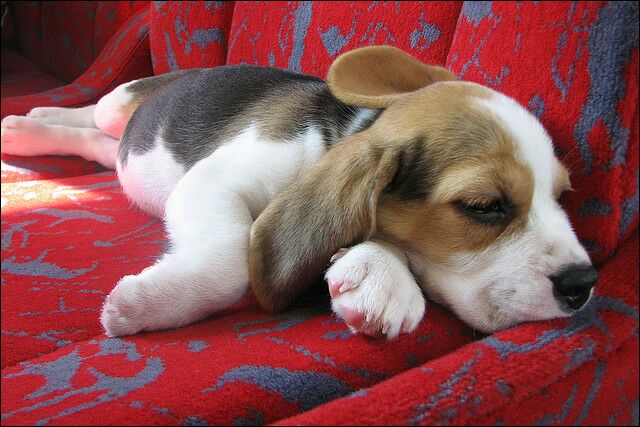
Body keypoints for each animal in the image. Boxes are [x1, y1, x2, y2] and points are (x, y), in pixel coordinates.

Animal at [2, 46, 596, 340]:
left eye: (562, 196)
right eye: (484, 207)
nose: (584, 284)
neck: (338, 134)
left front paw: (380, 272)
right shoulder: (211, 183)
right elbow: (229, 259)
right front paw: (150, 303)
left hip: (121, 146)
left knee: (102, 145)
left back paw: (32, 127)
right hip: (121, 101)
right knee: (94, 114)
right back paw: (31, 120)